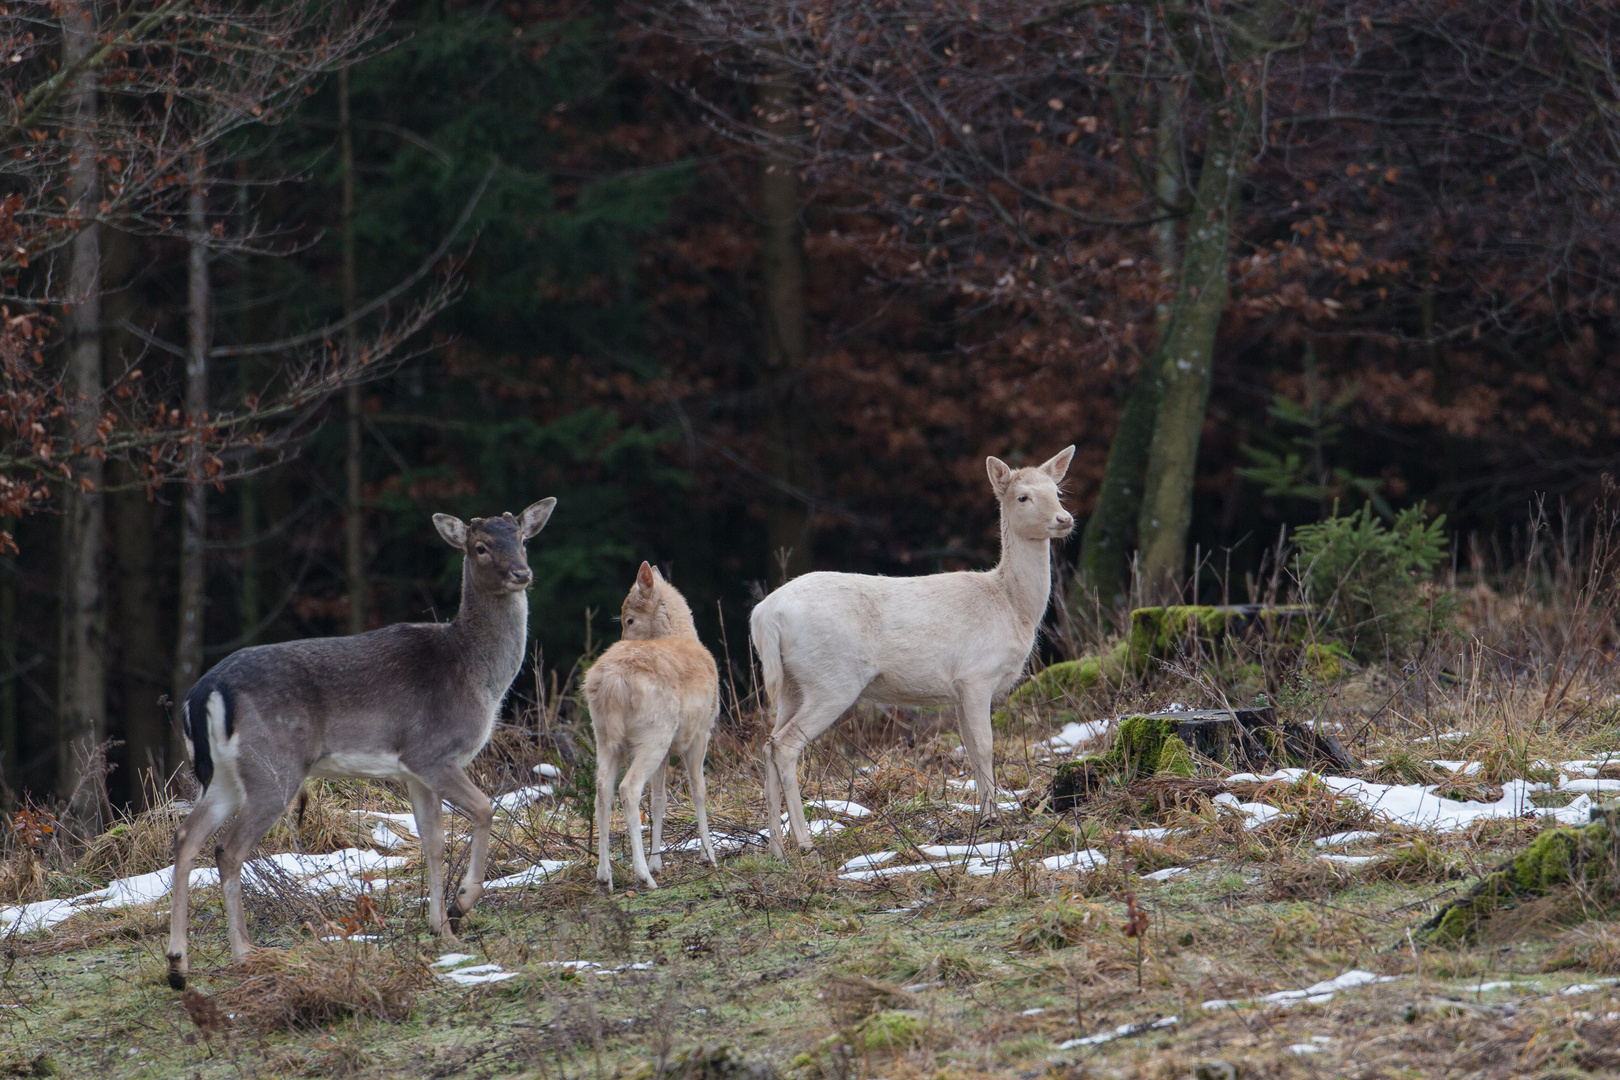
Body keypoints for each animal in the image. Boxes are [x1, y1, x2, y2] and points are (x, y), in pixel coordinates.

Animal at [165, 498, 557, 990]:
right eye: (481, 547)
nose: (521, 573)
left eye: (522, 538)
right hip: (274, 766)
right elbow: (485, 809)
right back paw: (243, 953)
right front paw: (461, 904)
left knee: (186, 836)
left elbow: (433, 840)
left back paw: (178, 965)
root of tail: (204, 692)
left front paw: (441, 929)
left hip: (226, 777)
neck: (476, 675)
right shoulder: (432, 751)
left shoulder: (413, 772)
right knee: (228, 848)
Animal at [579, 563, 712, 893]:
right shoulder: (701, 731)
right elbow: (699, 790)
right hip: (654, 733)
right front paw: (709, 856)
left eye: (629, 618)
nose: (625, 637)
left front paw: (658, 862)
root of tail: (612, 683)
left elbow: (660, 800)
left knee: (602, 789)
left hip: (605, 736)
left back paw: (605, 876)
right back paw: (643, 876)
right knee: (628, 788)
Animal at [748, 446, 1075, 854]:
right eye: (1023, 497)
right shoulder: (977, 675)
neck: (1012, 607)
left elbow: (970, 749)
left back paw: (776, 848)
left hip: (791, 684)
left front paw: (985, 816)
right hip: (832, 679)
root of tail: (765, 615)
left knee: (767, 744)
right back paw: (806, 842)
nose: (1065, 519)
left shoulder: (957, 690)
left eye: (1057, 491)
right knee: (786, 746)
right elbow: (985, 746)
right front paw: (994, 819)